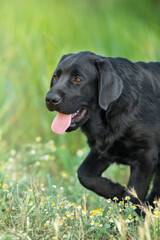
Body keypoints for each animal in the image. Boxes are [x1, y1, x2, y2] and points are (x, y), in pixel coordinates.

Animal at [45, 51, 160, 205]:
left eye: (78, 79)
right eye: (56, 76)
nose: (50, 99)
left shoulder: (146, 157)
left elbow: (135, 194)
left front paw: (129, 206)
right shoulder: (103, 150)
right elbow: (83, 174)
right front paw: (117, 191)